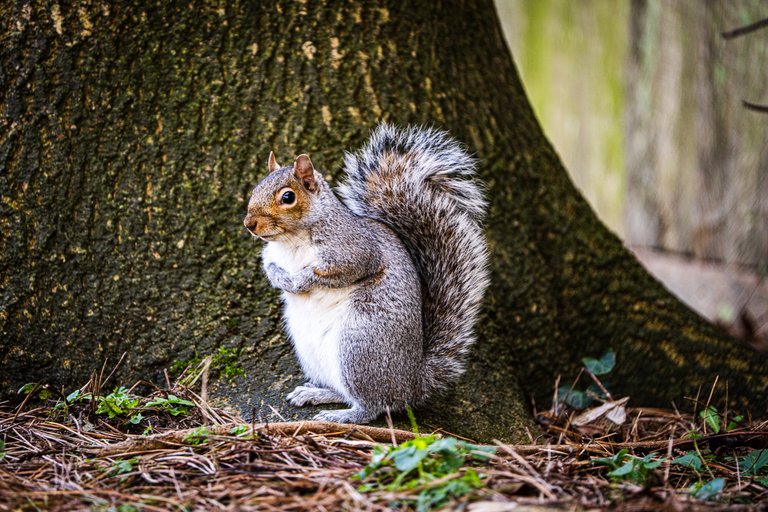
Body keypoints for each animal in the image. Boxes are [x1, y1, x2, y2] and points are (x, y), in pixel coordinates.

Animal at [243, 124, 488, 424]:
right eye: (256, 187)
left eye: (287, 197)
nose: (249, 223)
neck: (291, 242)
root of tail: (413, 385)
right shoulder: (271, 255)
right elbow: (269, 268)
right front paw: (282, 280)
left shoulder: (355, 251)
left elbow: (333, 272)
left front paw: (301, 281)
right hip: (314, 353)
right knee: (344, 392)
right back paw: (316, 393)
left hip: (360, 346)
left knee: (374, 405)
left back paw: (342, 416)